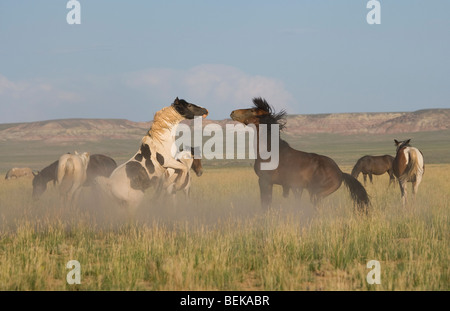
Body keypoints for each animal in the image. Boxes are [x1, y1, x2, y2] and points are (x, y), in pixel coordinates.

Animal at [230, 98, 370, 213]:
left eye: (252, 110)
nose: (232, 112)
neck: (270, 151)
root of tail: (340, 172)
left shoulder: (265, 181)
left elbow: (266, 204)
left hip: (316, 194)